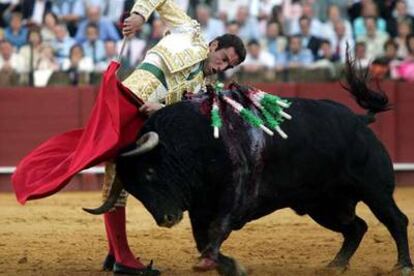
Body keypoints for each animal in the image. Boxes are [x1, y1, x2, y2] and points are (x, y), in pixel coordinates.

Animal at [83, 57, 410, 274]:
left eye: (150, 172)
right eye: (135, 190)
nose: (166, 218)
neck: (191, 143)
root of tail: (360, 121)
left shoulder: (236, 194)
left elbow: (217, 230)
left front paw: (219, 264)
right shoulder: (200, 207)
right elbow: (203, 238)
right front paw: (227, 265)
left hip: (374, 189)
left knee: (395, 220)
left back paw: (402, 264)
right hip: (323, 204)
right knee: (356, 227)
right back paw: (335, 264)